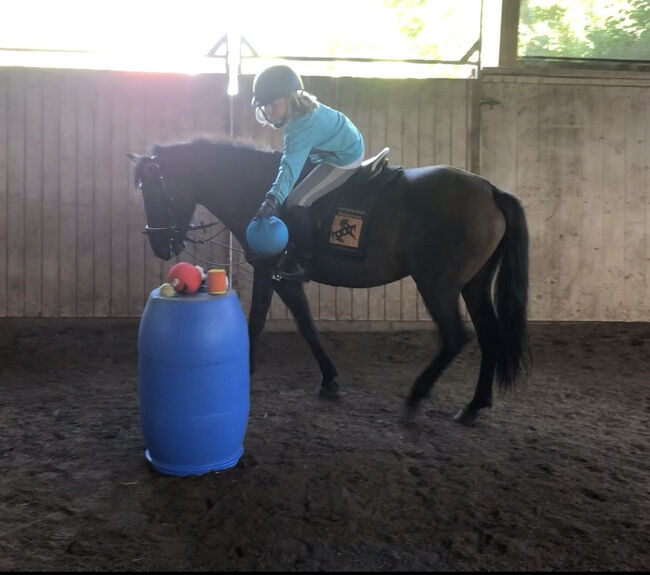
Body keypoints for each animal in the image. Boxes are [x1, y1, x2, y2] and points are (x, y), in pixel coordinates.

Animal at [128, 137, 532, 426]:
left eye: (155, 193)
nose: (159, 244)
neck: (255, 187)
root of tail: (490, 190)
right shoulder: (274, 275)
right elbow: (293, 322)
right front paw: (328, 380)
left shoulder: (273, 272)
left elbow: (274, 321)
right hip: (473, 286)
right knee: (488, 336)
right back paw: (474, 406)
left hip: (438, 285)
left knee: (455, 337)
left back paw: (416, 397)